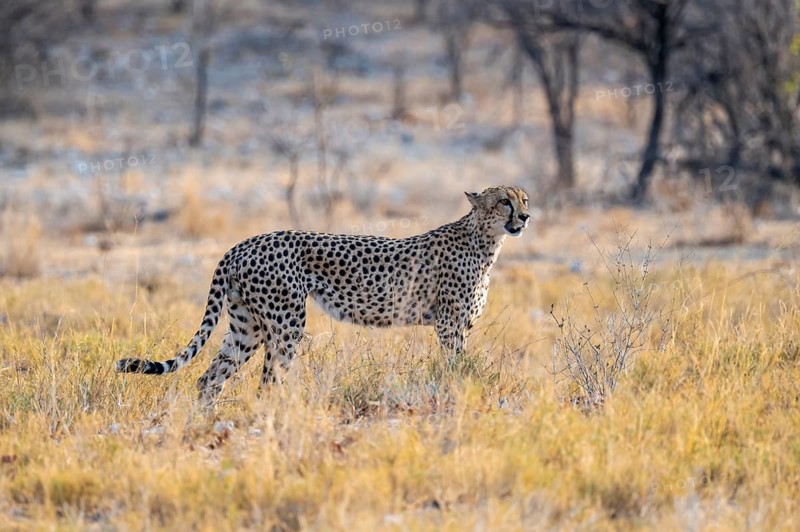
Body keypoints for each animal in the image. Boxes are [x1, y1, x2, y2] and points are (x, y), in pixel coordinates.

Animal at [116, 186, 530, 405]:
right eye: (504, 201)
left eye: (524, 199)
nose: (526, 218)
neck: (484, 241)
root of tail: (242, 244)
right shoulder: (449, 325)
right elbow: (455, 367)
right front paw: (455, 392)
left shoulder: (457, 325)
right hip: (286, 324)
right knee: (269, 381)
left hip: (246, 327)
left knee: (210, 377)